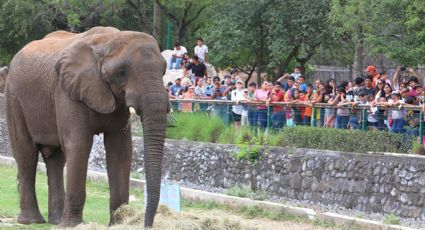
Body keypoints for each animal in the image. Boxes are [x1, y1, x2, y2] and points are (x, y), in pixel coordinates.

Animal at [4, 26, 168, 227]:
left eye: (163, 71)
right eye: (122, 72)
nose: (146, 224)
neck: (108, 39)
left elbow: (121, 150)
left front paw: (117, 223)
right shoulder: (67, 93)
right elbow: (79, 144)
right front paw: (72, 226)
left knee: (56, 159)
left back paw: (56, 220)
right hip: (13, 97)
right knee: (26, 155)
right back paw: (32, 221)